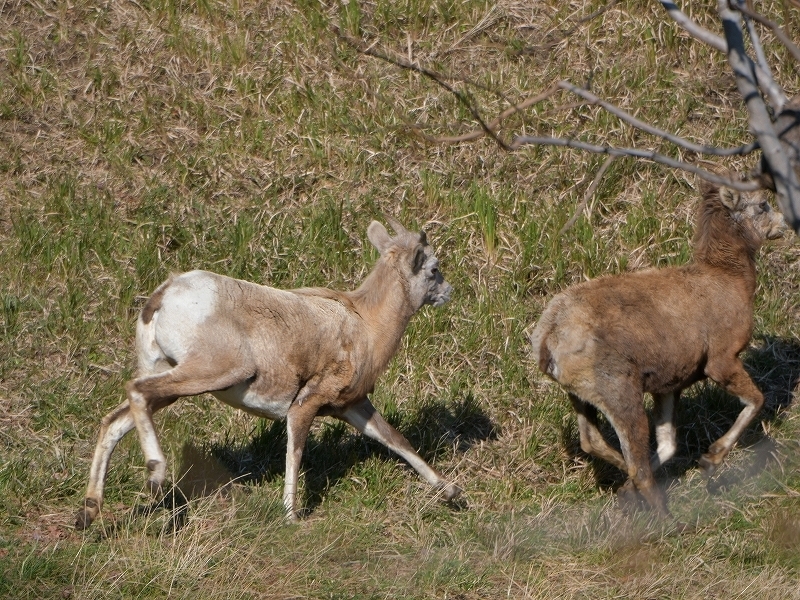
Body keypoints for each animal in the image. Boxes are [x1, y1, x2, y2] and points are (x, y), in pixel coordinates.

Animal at [78, 218, 462, 528]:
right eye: (433, 268)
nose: (448, 291)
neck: (365, 323)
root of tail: (166, 292)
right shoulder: (305, 405)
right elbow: (295, 452)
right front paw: (291, 517)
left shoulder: (353, 406)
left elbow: (398, 441)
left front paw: (453, 493)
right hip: (210, 372)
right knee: (136, 390)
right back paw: (156, 475)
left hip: (171, 384)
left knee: (115, 420)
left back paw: (88, 512)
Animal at [528, 173, 784, 516]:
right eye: (762, 204)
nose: (782, 224)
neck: (727, 280)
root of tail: (547, 340)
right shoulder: (721, 360)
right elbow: (757, 400)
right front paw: (710, 459)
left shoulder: (670, 384)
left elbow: (668, 444)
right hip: (621, 393)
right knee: (637, 465)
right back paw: (664, 516)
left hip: (581, 395)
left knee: (593, 441)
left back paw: (627, 487)